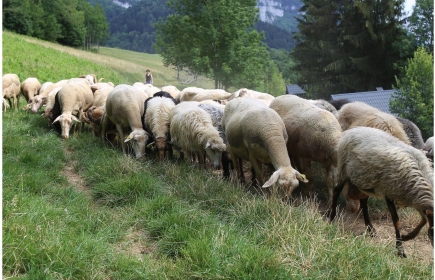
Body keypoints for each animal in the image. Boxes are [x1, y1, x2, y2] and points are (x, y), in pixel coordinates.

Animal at [328, 127, 434, 258]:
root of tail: (353, 129)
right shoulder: (390, 194)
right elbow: (397, 222)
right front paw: (400, 249)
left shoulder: (412, 198)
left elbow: (424, 219)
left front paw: (406, 237)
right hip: (343, 169)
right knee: (336, 192)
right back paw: (331, 219)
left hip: (365, 181)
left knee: (363, 203)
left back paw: (371, 230)